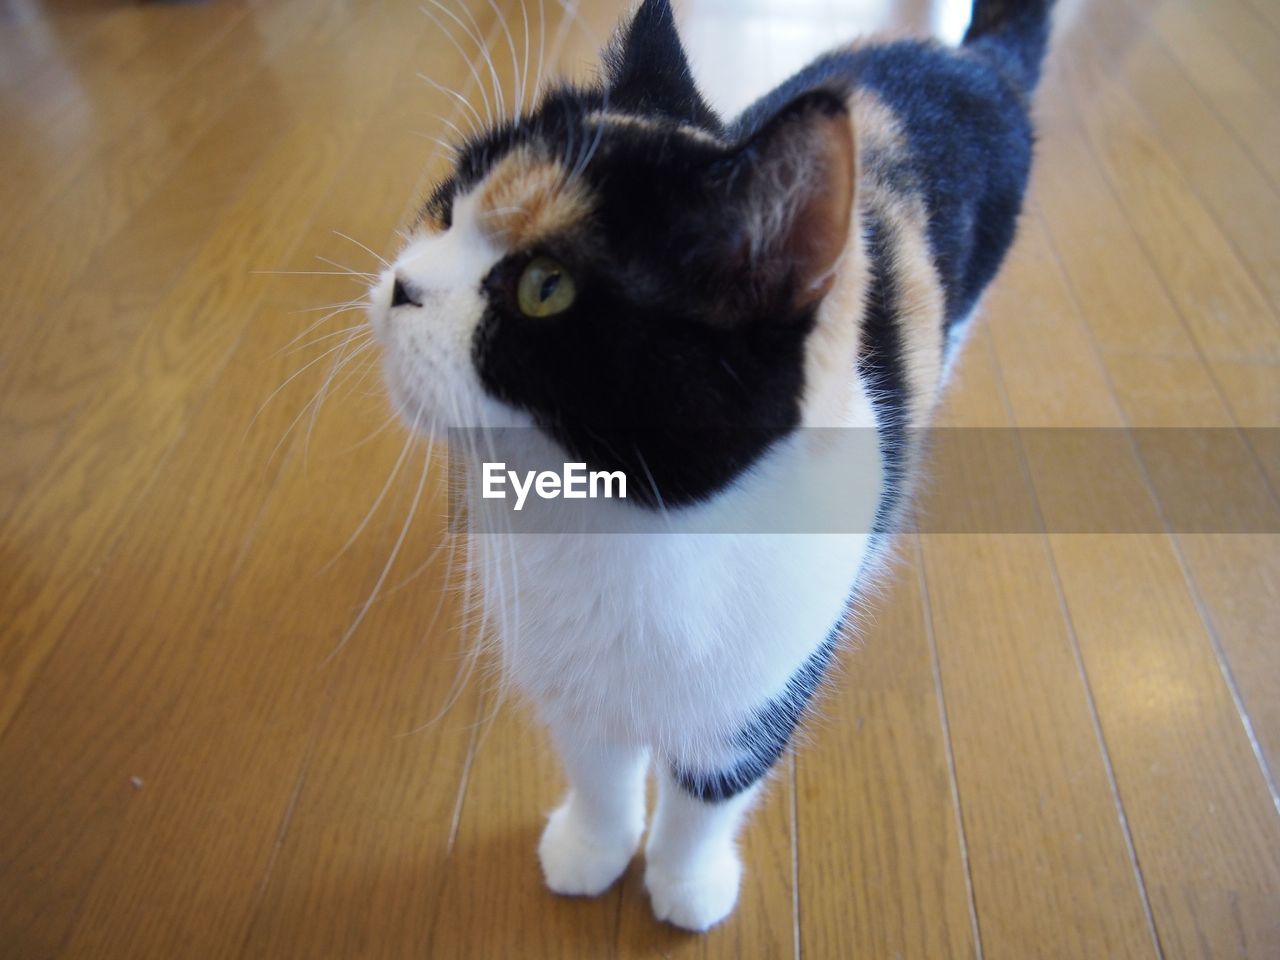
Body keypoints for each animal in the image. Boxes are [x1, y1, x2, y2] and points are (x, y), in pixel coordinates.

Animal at [368, 0, 1049, 936]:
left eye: (545, 287)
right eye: (445, 207)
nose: (401, 283)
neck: (619, 525)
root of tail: (968, 61)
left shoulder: (759, 691)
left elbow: (709, 794)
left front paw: (685, 886)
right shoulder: (570, 679)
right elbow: (599, 768)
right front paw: (591, 849)